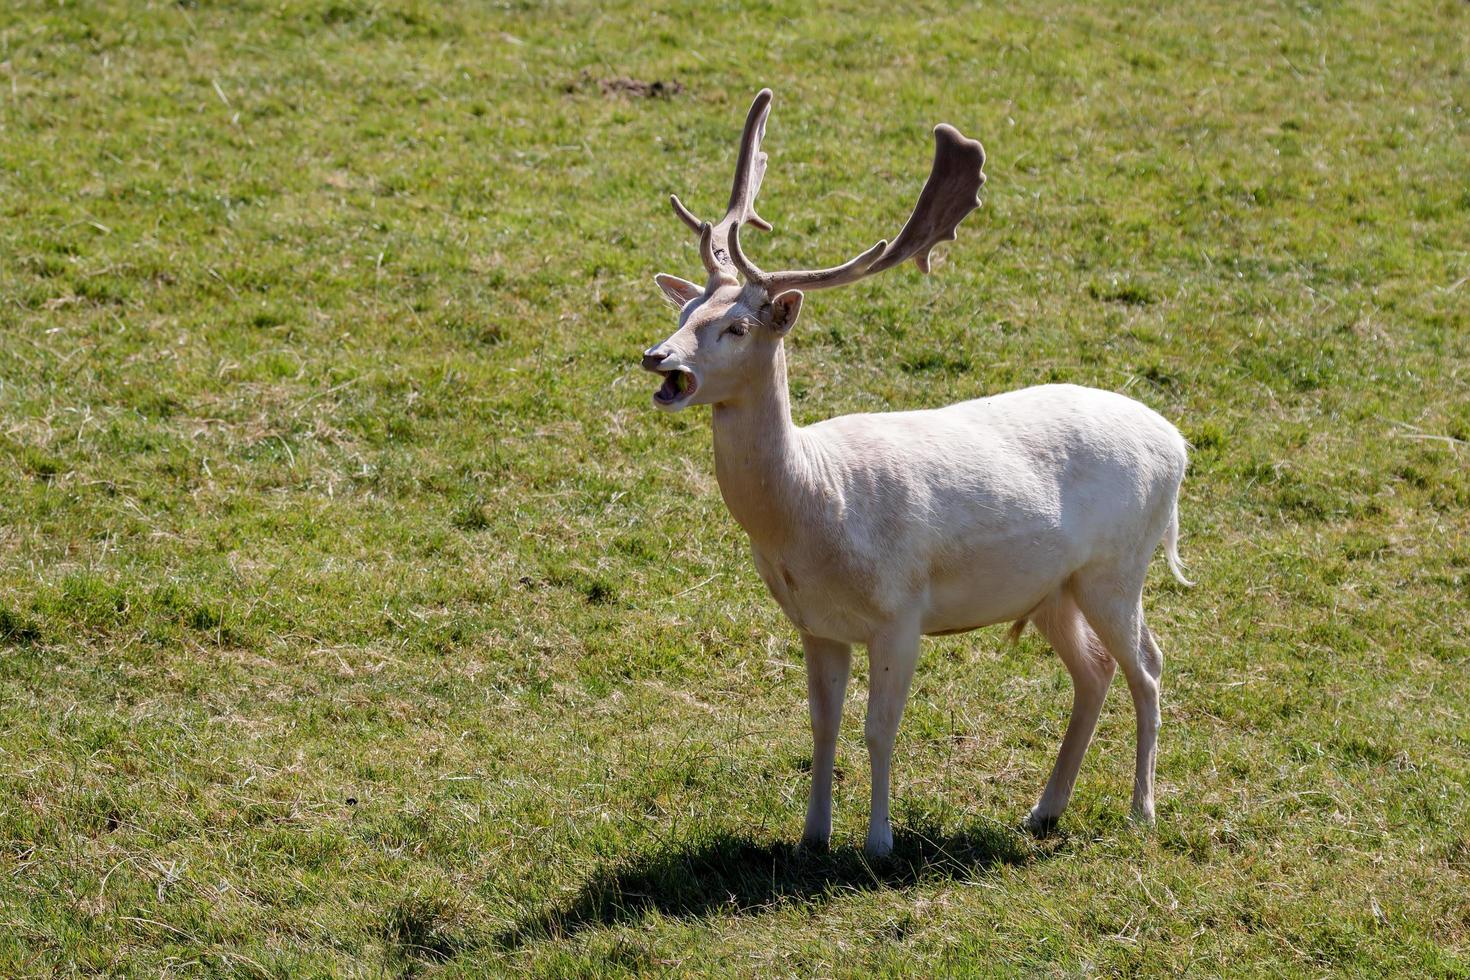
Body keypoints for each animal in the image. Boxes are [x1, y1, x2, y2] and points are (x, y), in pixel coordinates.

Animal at [637, 91, 1187, 858]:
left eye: (738, 327)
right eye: (686, 309)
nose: (656, 357)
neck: (813, 508)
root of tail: (1178, 445)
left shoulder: (901, 612)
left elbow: (878, 730)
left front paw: (878, 845)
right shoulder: (817, 623)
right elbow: (822, 725)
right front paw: (811, 838)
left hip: (1118, 567)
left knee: (1150, 667)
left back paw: (1143, 811)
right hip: (1055, 587)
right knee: (1096, 672)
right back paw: (1044, 810)